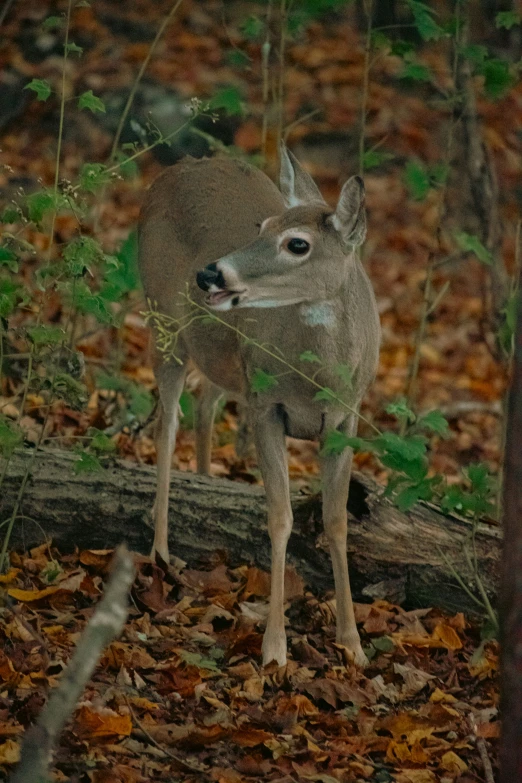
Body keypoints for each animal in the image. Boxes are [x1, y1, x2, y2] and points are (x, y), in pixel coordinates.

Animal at [139, 145, 378, 668]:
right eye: (261, 225)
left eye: (297, 244)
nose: (210, 273)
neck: (315, 377)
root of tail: (174, 170)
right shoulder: (267, 405)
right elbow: (280, 516)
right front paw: (274, 648)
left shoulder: (345, 417)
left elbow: (336, 522)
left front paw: (352, 642)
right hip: (164, 322)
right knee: (167, 423)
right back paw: (160, 553)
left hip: (222, 358)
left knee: (205, 401)